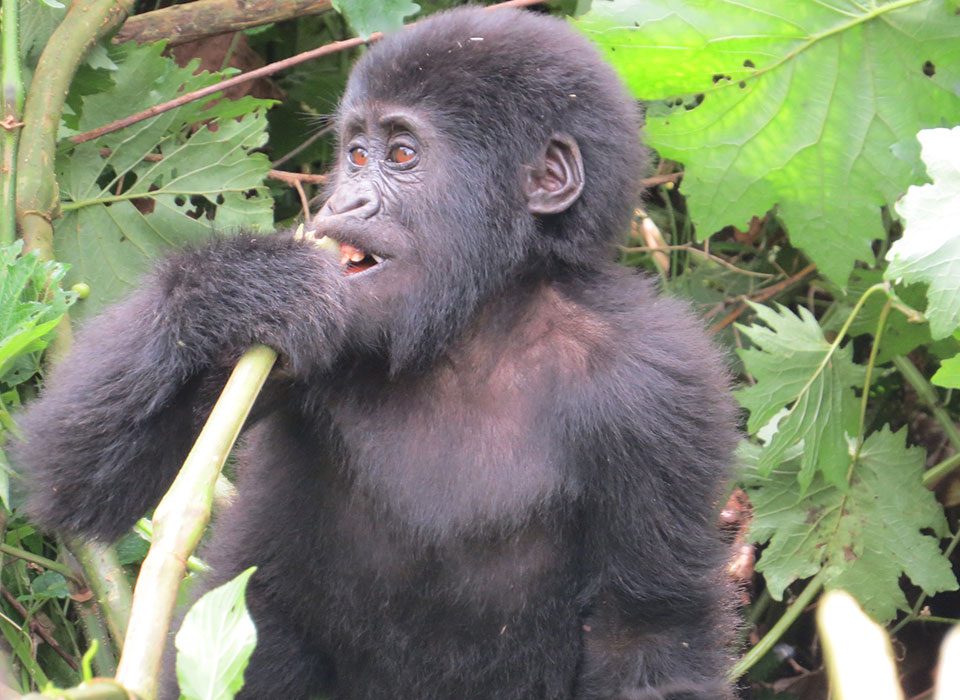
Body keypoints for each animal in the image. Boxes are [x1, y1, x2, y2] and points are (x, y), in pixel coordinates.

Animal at [15, 7, 739, 699]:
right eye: (358, 156)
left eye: (402, 154)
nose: (345, 198)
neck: (475, 328)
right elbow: (74, 478)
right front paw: (235, 285)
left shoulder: (661, 383)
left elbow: (645, 629)